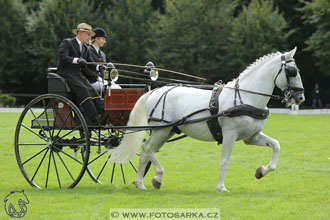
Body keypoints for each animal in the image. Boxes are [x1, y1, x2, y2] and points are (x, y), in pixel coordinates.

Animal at [108, 47, 304, 192]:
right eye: (292, 72)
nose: (300, 97)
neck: (245, 97)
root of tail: (154, 91)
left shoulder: (251, 137)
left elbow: (276, 145)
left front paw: (262, 171)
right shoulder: (230, 134)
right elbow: (225, 161)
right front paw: (221, 187)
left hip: (168, 131)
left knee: (147, 151)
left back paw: (147, 181)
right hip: (161, 130)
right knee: (147, 149)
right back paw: (149, 179)